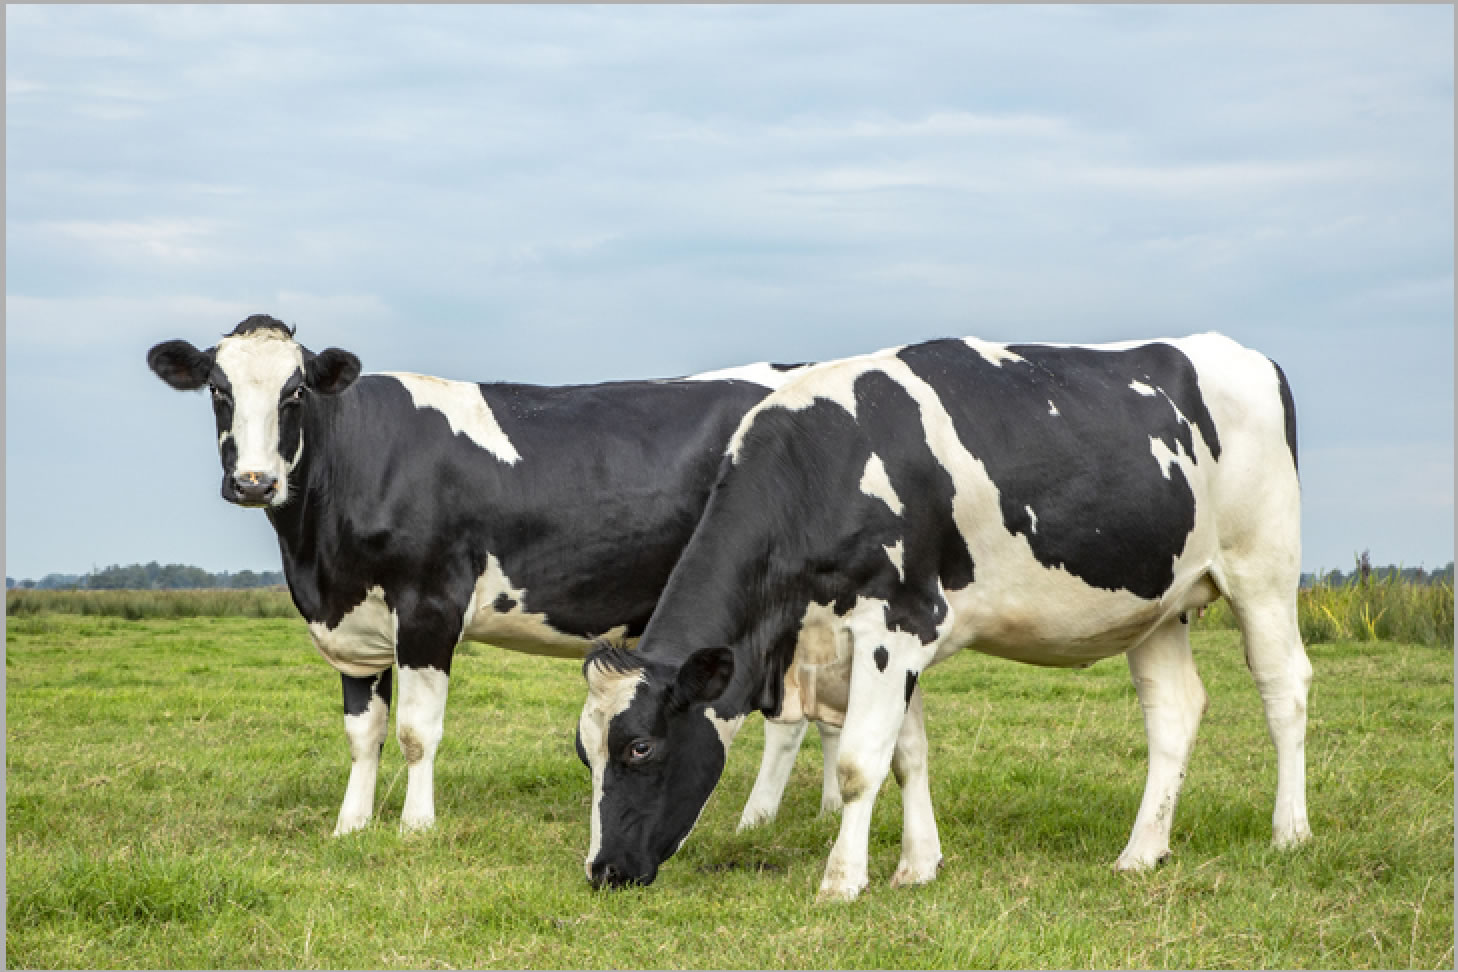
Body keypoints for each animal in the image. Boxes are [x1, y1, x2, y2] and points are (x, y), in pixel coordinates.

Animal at [149, 317, 839, 839]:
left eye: (295, 393)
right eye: (217, 389)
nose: (254, 482)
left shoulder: (427, 608)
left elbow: (416, 732)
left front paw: (416, 827)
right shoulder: (352, 624)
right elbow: (363, 734)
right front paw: (351, 826)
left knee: (792, 720)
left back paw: (758, 819)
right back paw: (825, 810)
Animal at [577, 335, 1312, 903]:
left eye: (641, 747)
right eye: (585, 753)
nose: (603, 871)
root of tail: (1240, 353)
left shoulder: (894, 625)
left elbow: (860, 762)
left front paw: (842, 881)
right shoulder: (884, 643)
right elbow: (907, 755)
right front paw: (918, 866)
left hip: (1263, 570)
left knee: (1285, 689)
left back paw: (1290, 833)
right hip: (1158, 606)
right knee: (1174, 712)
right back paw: (1141, 852)